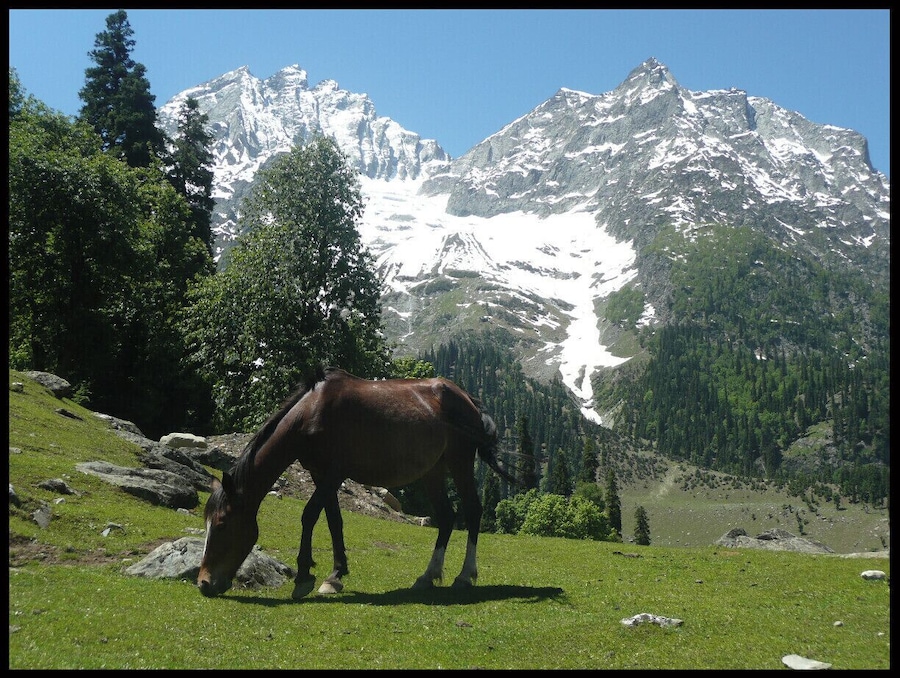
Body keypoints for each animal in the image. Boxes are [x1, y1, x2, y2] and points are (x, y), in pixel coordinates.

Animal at [197, 366, 519, 598]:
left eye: (222, 525)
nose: (203, 583)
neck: (311, 413)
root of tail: (468, 400)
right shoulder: (320, 474)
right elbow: (334, 520)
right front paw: (335, 576)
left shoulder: (333, 474)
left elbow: (309, 516)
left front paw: (303, 577)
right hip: (433, 471)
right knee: (447, 517)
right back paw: (427, 576)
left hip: (459, 462)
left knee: (473, 511)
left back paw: (465, 576)